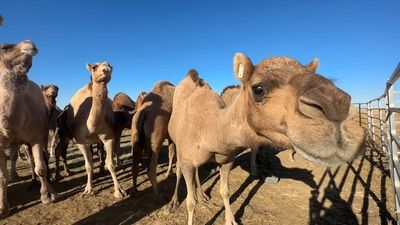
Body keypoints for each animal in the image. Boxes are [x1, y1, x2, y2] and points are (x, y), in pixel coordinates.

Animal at [0, 39, 56, 217]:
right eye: (5, 48)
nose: (30, 43)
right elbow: (1, 177)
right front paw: (3, 208)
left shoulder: (36, 137)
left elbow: (41, 168)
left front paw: (46, 196)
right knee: (19, 158)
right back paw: (18, 177)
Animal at [62, 61, 125, 197]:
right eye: (94, 67)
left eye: (110, 65)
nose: (106, 70)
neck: (93, 125)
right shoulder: (81, 142)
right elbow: (88, 166)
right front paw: (88, 189)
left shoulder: (108, 138)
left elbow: (110, 164)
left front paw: (119, 191)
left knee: (101, 152)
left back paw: (102, 169)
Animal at [167, 53, 368, 224]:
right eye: (258, 89)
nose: (339, 107)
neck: (209, 130)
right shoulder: (187, 160)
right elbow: (190, 202)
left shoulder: (227, 159)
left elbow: (225, 191)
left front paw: (230, 220)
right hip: (176, 144)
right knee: (179, 171)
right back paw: (173, 202)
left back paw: (202, 194)